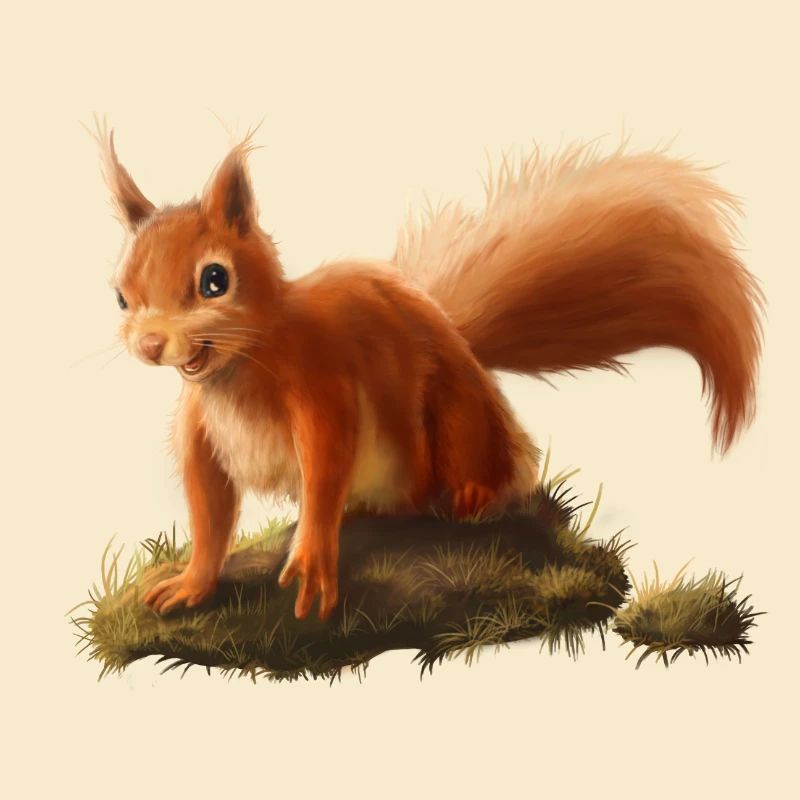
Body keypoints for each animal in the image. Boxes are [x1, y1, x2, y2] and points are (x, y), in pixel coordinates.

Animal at [89, 121, 763, 621]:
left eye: (214, 280)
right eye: (120, 295)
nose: (151, 344)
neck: (238, 366)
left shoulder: (322, 384)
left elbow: (326, 464)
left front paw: (312, 557)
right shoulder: (200, 433)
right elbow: (209, 511)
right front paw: (192, 584)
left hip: (457, 417)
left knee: (495, 468)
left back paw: (473, 494)